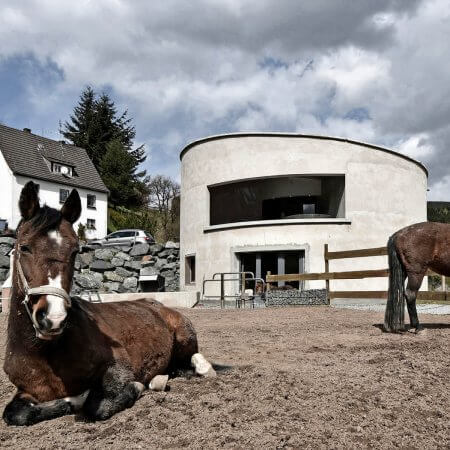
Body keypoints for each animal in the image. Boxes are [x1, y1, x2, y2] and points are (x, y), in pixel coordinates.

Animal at [3, 180, 214, 426]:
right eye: (24, 247)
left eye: (75, 251)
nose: (53, 318)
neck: (45, 354)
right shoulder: (26, 391)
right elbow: (15, 413)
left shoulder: (117, 369)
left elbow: (95, 406)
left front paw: (134, 387)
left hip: (184, 335)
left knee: (193, 362)